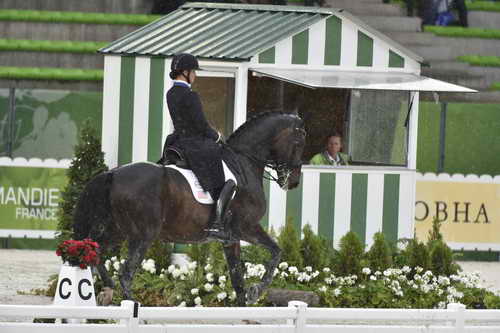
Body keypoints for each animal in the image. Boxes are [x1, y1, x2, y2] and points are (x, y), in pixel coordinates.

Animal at [73, 111, 308, 304]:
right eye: (299, 142)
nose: (293, 181)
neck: (245, 162)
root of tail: (112, 174)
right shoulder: (247, 227)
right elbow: (276, 251)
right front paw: (257, 291)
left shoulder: (231, 239)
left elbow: (237, 279)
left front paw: (246, 300)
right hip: (142, 235)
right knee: (125, 273)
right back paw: (130, 303)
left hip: (117, 231)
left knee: (95, 251)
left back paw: (107, 290)